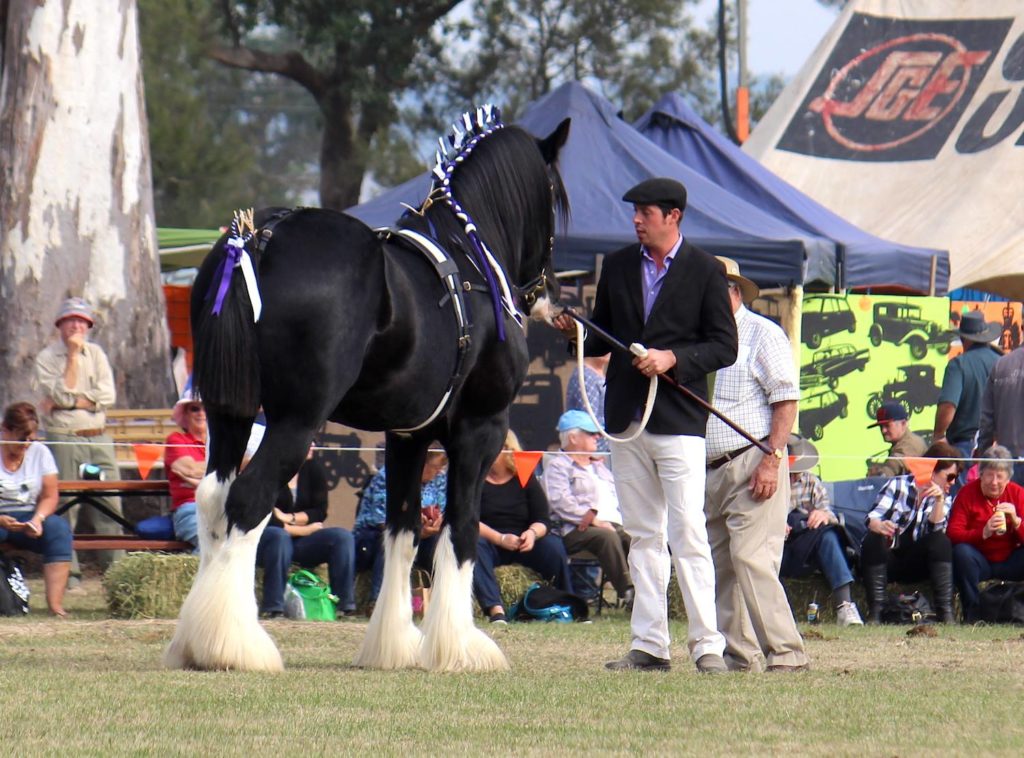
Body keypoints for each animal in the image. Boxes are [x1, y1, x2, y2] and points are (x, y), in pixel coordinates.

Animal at [163, 108, 573, 667]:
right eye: (554, 195)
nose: (548, 295)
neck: (471, 259)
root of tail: (258, 236)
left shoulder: (407, 436)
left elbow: (401, 529)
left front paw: (394, 645)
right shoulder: (480, 429)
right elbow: (462, 529)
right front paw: (460, 647)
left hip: (231, 412)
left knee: (213, 497)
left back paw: (196, 640)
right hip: (296, 420)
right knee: (249, 500)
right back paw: (235, 645)